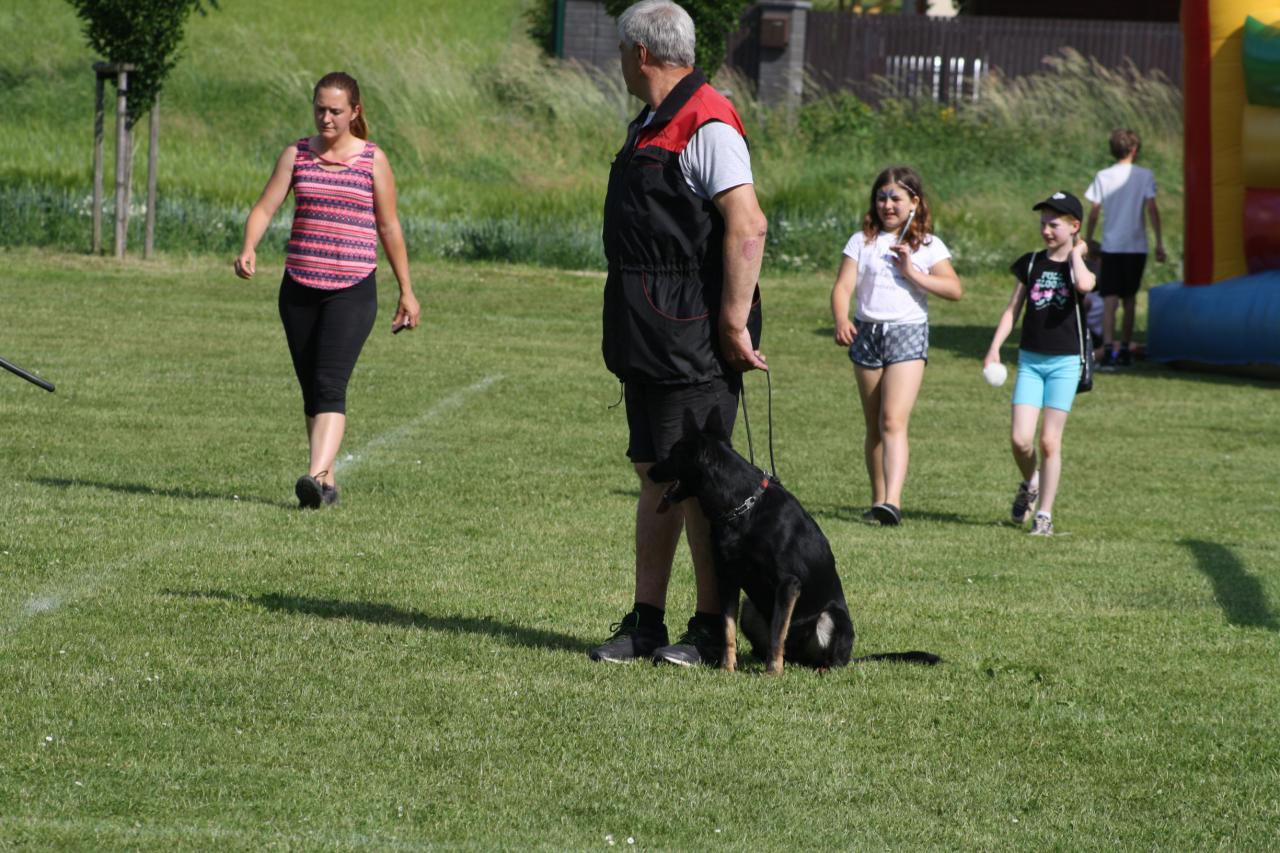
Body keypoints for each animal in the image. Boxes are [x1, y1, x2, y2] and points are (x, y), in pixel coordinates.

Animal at [648, 408, 939, 674]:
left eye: (672, 454)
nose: (649, 471)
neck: (743, 509)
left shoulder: (788, 583)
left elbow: (778, 633)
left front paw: (772, 674)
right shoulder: (727, 579)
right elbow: (728, 629)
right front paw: (726, 669)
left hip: (832, 618)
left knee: (830, 660)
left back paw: (816, 668)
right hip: (750, 608)